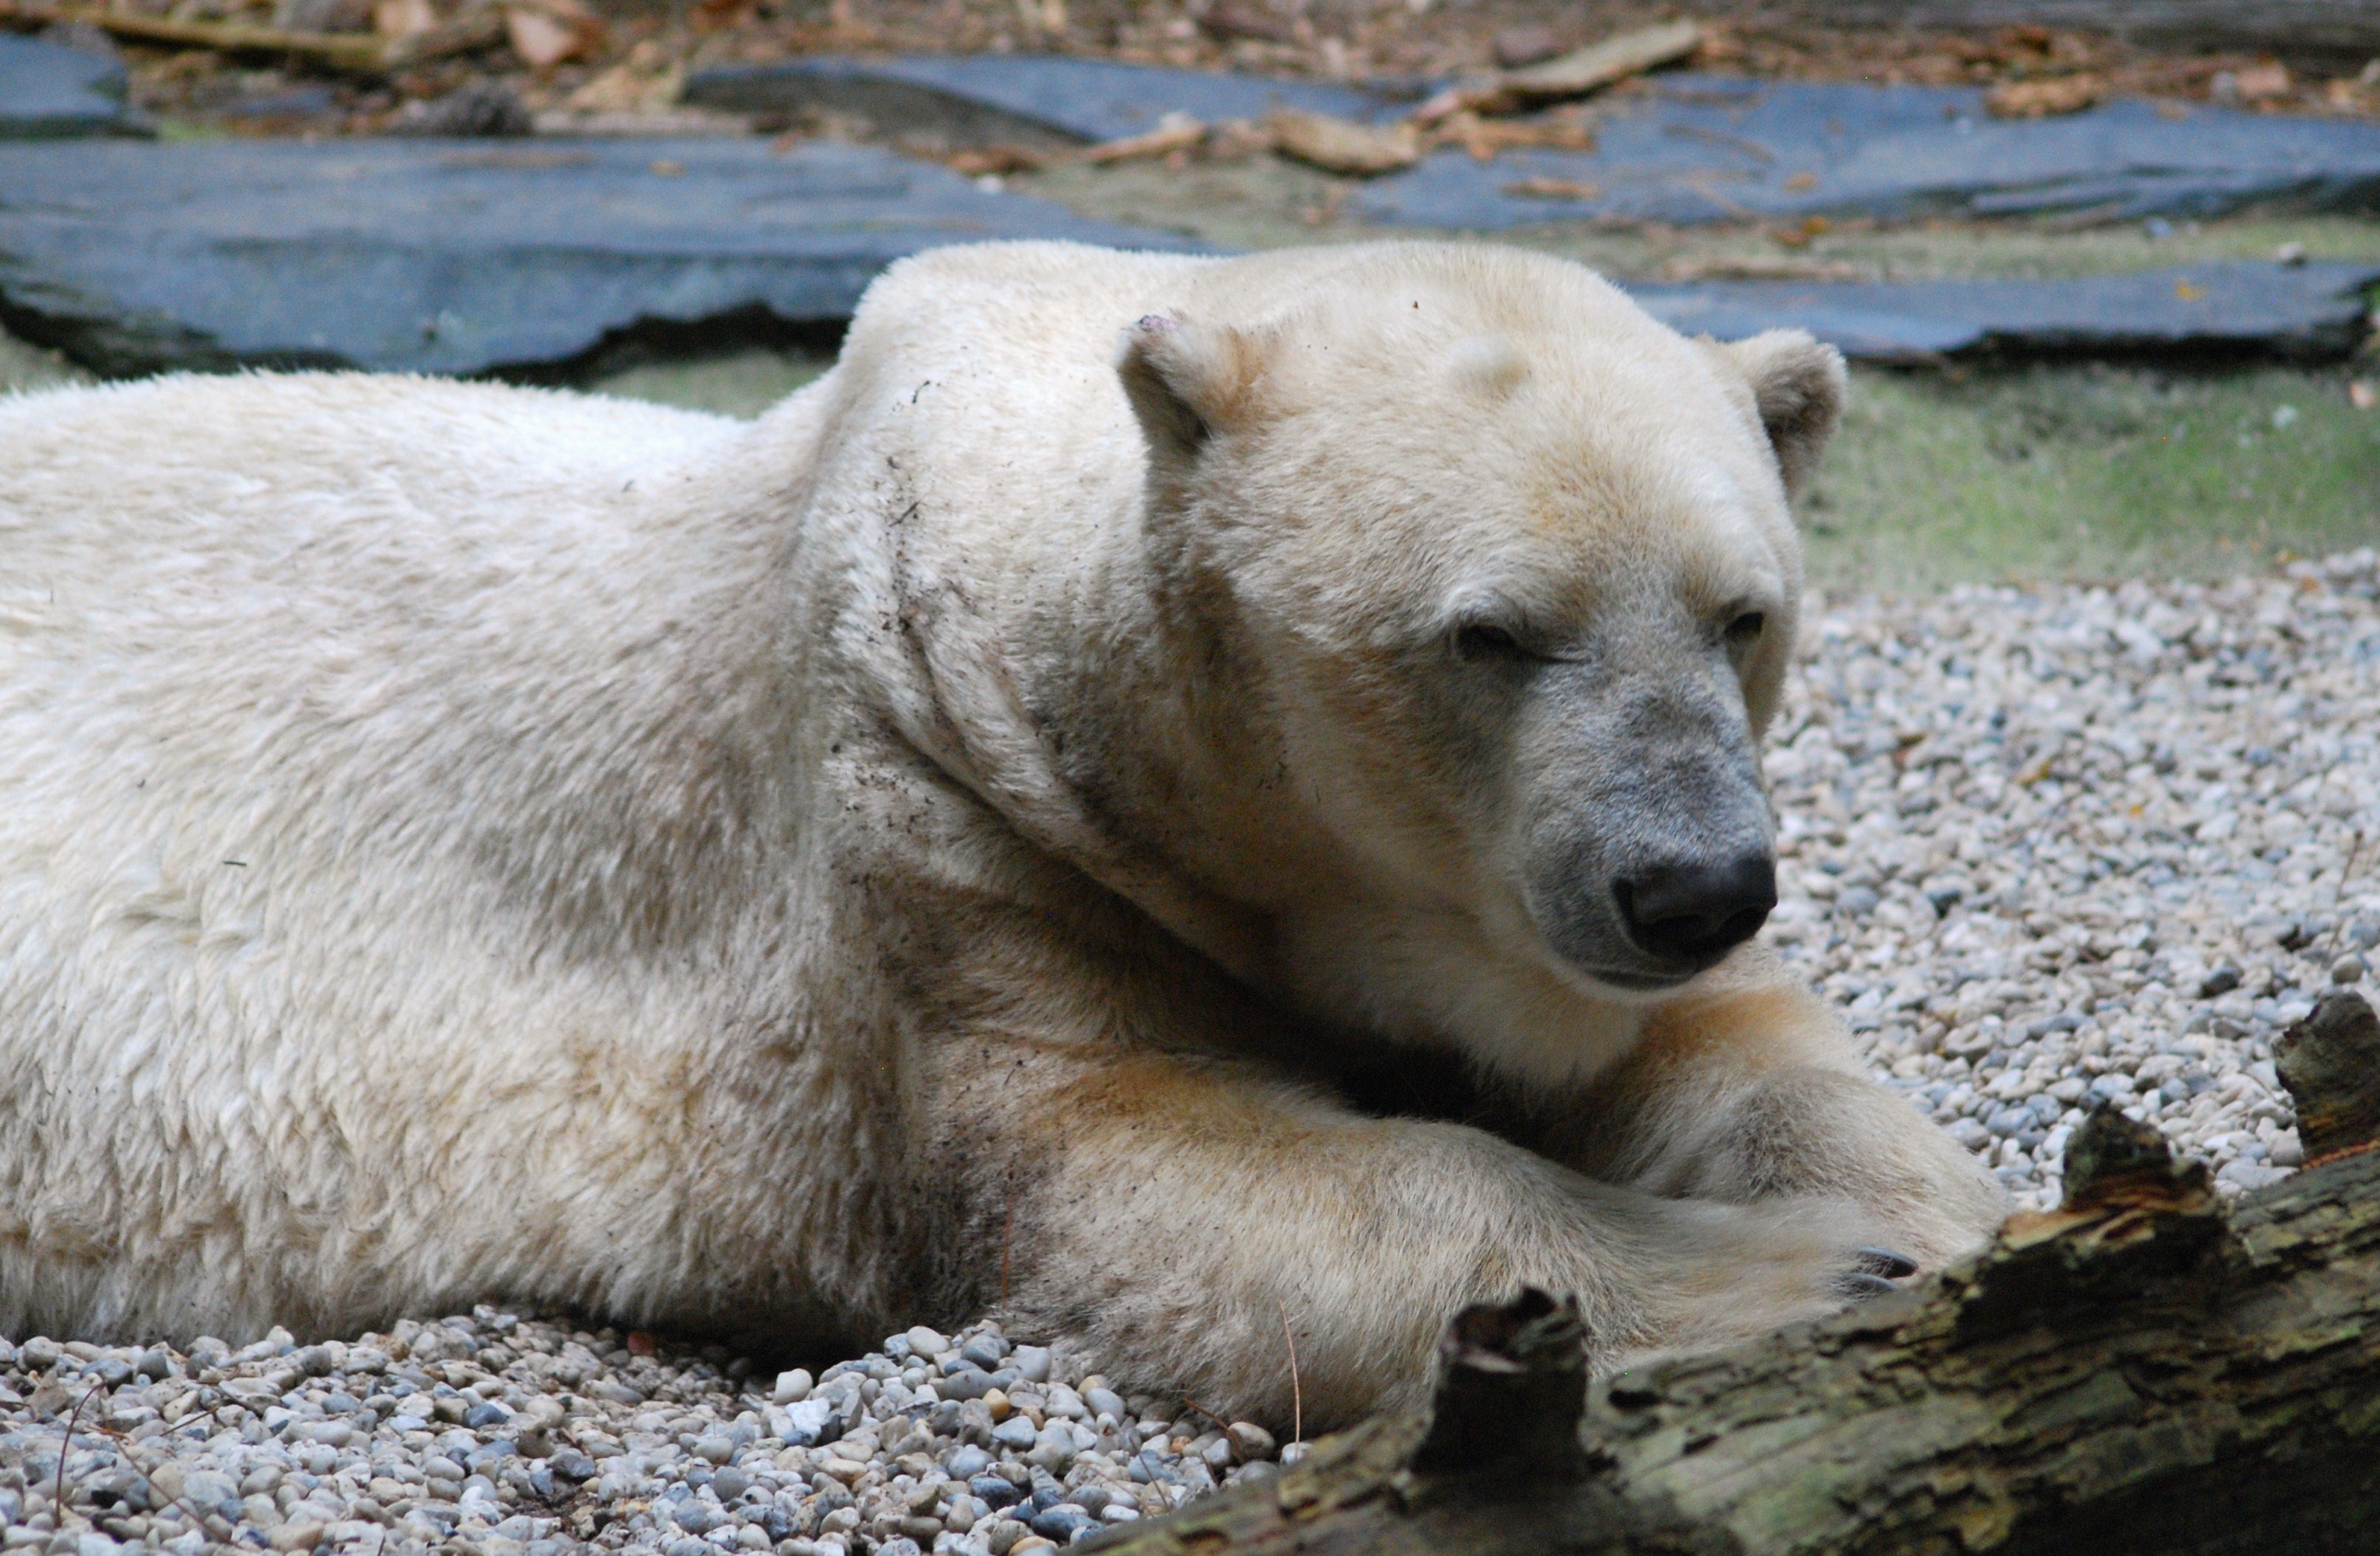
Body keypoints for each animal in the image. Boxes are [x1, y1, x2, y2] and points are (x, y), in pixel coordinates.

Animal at [0, 240, 2008, 1427]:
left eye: (1742, 614)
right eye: (1492, 632)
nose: (1693, 883)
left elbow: (1727, 1048)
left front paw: (1948, 1221)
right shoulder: (944, 824)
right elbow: (1160, 1178)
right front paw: (1806, 1275)